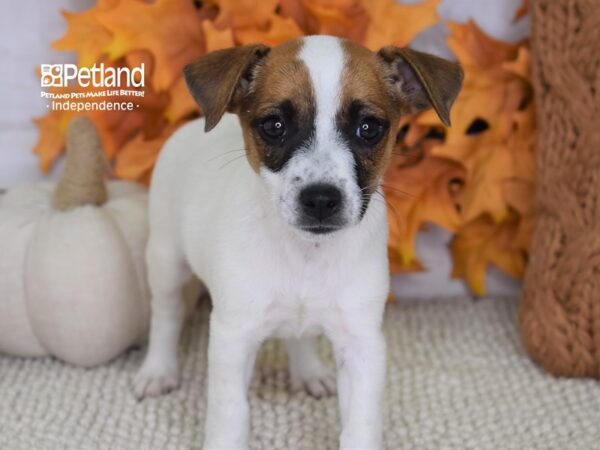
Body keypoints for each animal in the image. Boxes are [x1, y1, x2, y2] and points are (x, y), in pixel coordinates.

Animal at [134, 33, 462, 448]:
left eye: (369, 128)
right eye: (274, 125)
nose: (321, 199)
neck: (306, 254)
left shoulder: (362, 343)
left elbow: (361, 423)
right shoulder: (232, 336)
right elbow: (230, 412)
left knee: (298, 335)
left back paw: (309, 371)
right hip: (166, 261)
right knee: (166, 316)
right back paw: (158, 371)